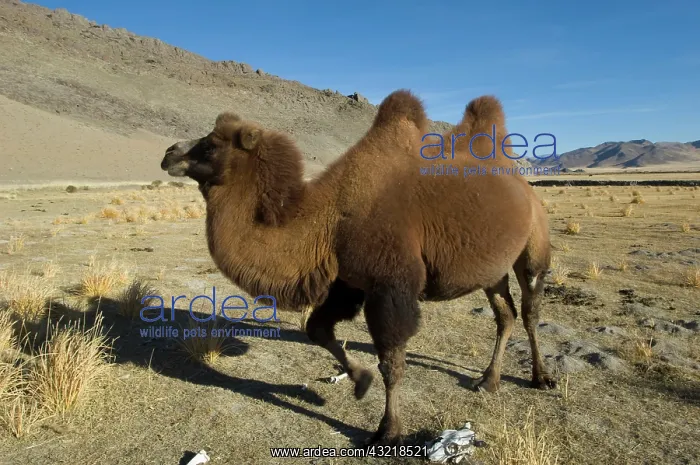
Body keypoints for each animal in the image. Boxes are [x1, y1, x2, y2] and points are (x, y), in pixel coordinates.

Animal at [159, 90, 555, 445]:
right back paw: (488, 381)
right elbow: (318, 330)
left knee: (530, 309)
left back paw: (540, 377)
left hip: (534, 245)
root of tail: (523, 184)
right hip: (492, 268)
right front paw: (359, 380)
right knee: (505, 314)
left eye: (211, 145)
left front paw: (388, 431)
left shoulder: (390, 285)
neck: (329, 220)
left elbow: (391, 363)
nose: (168, 153)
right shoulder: (347, 282)